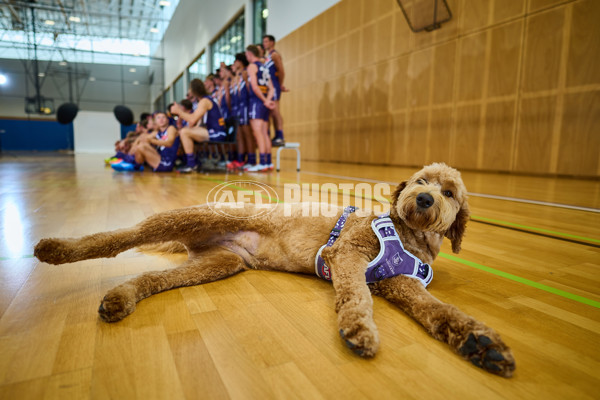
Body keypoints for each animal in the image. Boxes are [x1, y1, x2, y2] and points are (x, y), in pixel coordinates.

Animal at [35, 162, 516, 378]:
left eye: (449, 192)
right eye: (420, 181)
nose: (423, 199)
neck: (408, 234)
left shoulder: (399, 283)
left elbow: (440, 311)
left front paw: (480, 342)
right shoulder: (348, 255)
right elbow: (355, 297)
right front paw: (358, 330)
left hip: (216, 264)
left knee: (152, 277)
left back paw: (121, 297)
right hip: (190, 219)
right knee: (120, 236)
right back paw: (55, 248)